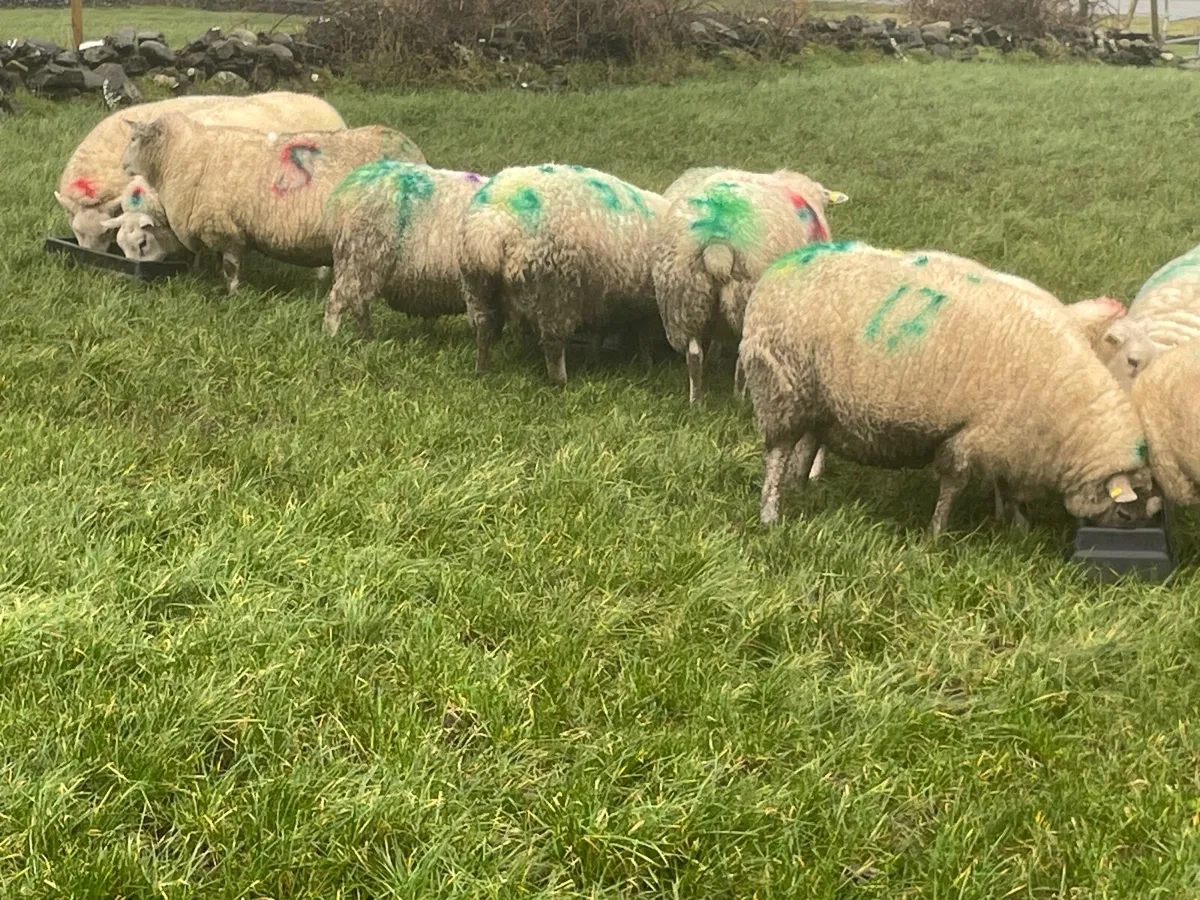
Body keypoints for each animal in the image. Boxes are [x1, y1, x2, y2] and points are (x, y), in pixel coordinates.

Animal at [119, 114, 425, 293]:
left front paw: (233, 295)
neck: (179, 155)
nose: (122, 165)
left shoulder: (224, 228)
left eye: (134, 139)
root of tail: (413, 151)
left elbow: (231, 268)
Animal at [322, 161, 486, 337]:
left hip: (359, 262)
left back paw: (367, 338)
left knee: (358, 304)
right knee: (338, 302)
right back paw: (332, 337)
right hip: (362, 257)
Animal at [460, 164, 669, 385]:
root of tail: (492, 226)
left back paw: (482, 370)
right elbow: (644, 339)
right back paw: (560, 381)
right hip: (555, 291)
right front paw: (648, 367)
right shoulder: (646, 306)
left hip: (477, 287)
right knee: (553, 343)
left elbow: (598, 333)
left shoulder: (600, 297)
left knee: (484, 328)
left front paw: (593, 362)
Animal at [652, 166, 847, 404]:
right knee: (741, 356)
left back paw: (696, 401)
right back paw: (739, 399)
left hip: (683, 300)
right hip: (742, 296)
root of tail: (717, 245)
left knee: (694, 354)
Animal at [738, 241, 1158, 535]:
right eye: (1124, 513)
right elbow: (954, 485)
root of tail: (781, 266)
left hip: (819, 400)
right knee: (777, 454)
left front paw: (1018, 528)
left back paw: (801, 490)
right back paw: (770, 515)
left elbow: (1008, 488)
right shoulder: (972, 434)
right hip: (782, 390)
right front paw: (936, 535)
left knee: (807, 445)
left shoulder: (1008, 443)